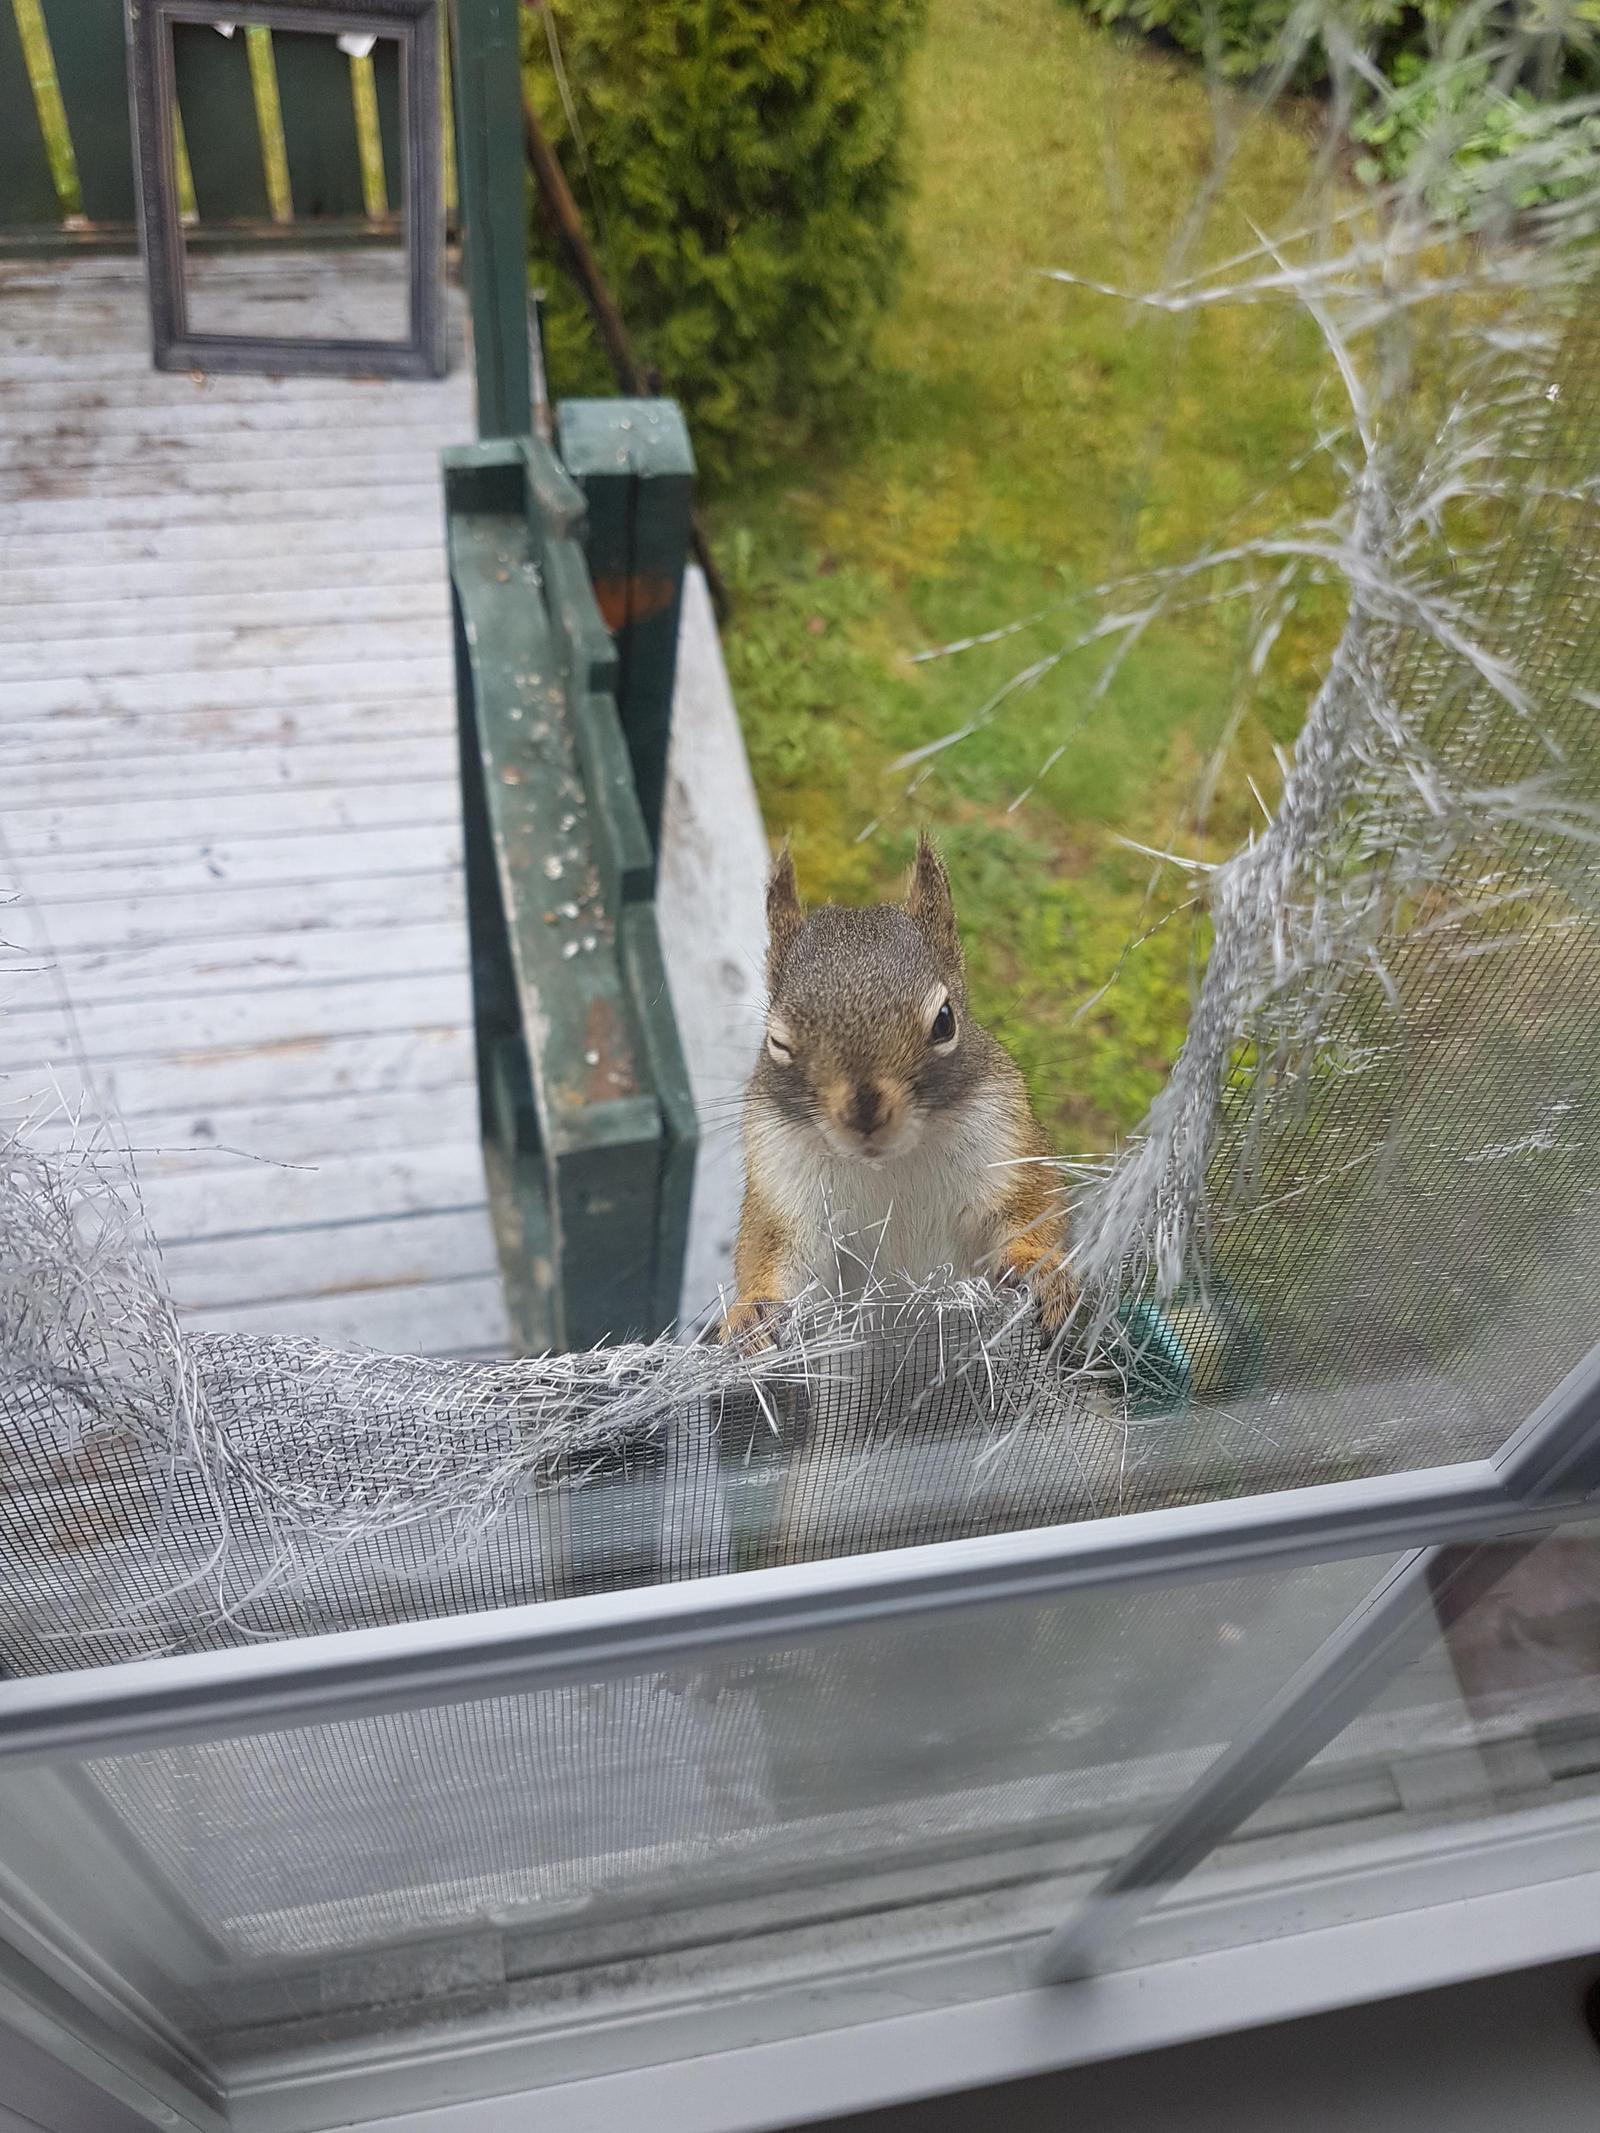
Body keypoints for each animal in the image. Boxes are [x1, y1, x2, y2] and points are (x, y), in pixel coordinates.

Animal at [733, 831, 1070, 1330]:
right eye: (777, 1041)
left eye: (945, 1021)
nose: (864, 1114)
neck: (888, 1166)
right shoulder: (783, 1190)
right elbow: (773, 1256)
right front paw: (751, 1316)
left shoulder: (1005, 1151)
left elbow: (1029, 1211)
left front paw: (1040, 1268)